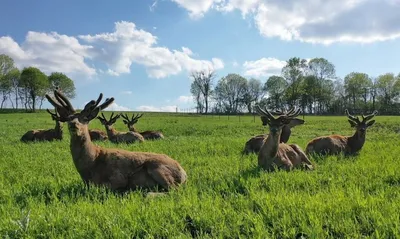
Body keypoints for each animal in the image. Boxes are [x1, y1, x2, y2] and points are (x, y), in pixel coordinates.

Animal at [44, 90, 188, 192]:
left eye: (85, 118)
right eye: (69, 118)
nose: (74, 124)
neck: (90, 165)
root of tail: (184, 174)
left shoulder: (118, 177)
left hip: (157, 167)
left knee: (174, 191)